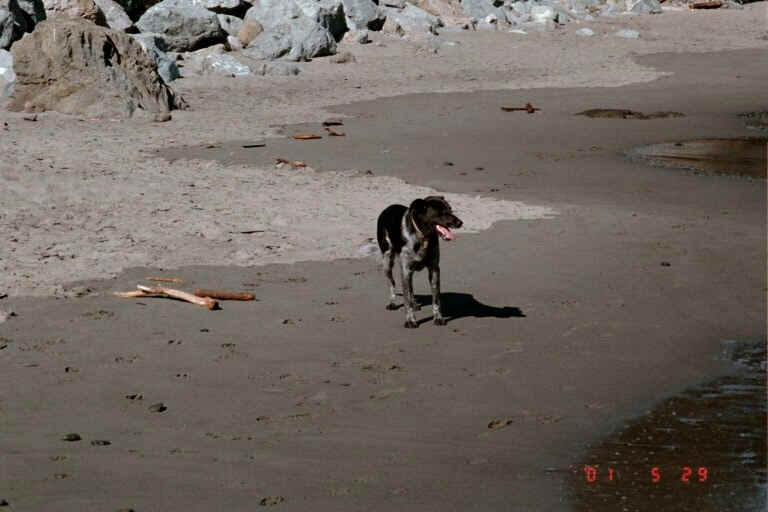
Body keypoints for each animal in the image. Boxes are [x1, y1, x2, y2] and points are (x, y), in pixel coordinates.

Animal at [376, 196, 463, 328]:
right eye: (441, 212)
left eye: (450, 209)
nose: (460, 223)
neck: (423, 237)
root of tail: (388, 208)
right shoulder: (406, 270)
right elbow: (407, 299)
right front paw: (410, 320)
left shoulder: (434, 270)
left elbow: (436, 299)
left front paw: (438, 318)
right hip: (387, 261)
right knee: (391, 283)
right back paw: (392, 302)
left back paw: (415, 304)